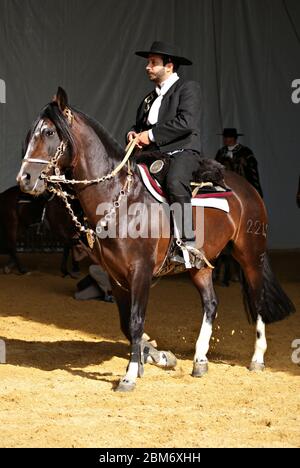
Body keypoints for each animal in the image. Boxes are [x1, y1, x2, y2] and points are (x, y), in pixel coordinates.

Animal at [15, 87, 294, 392]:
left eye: (49, 132)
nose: (25, 179)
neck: (119, 198)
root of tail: (248, 188)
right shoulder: (115, 275)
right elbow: (126, 324)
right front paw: (157, 357)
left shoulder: (141, 271)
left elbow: (136, 321)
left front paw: (129, 376)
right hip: (200, 266)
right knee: (211, 304)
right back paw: (200, 360)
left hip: (250, 256)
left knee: (258, 300)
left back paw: (257, 358)